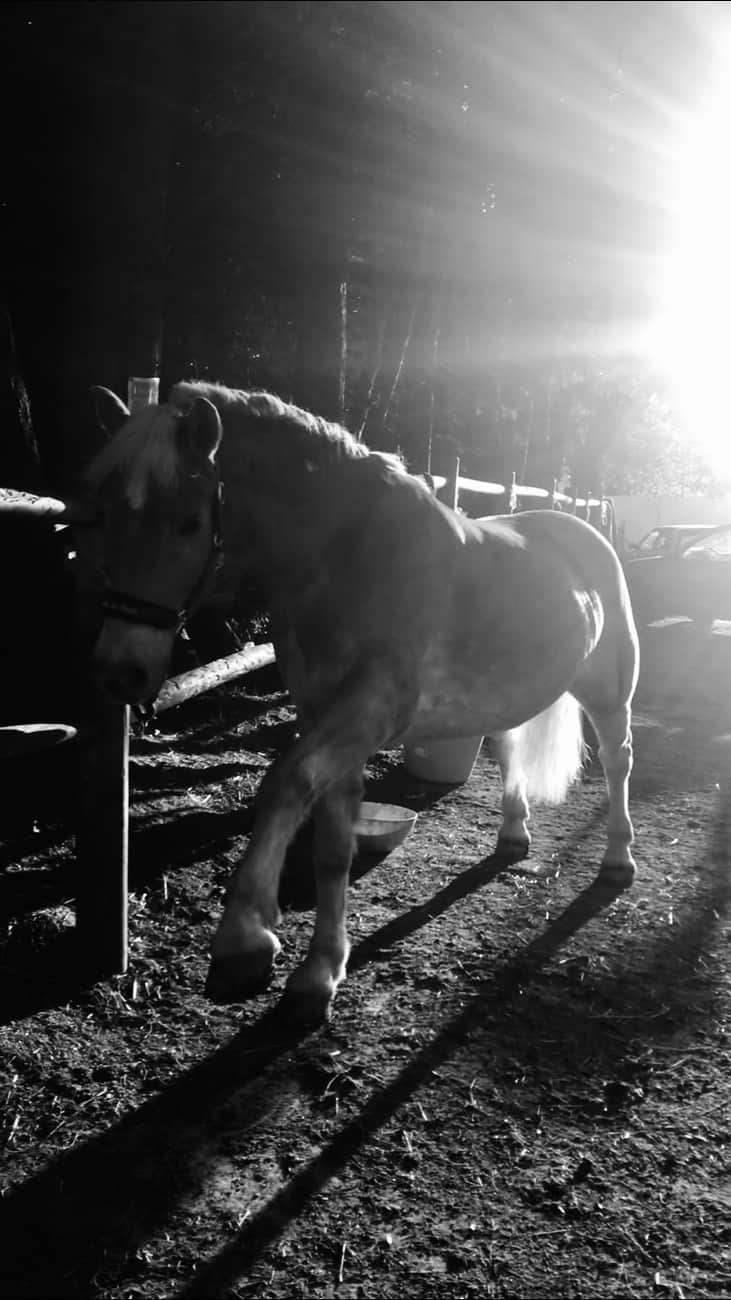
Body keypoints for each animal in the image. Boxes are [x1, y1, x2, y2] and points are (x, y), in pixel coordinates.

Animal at [85, 381, 639, 1021]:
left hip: (610, 690)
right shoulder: (330, 720)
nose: (119, 672)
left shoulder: (370, 711)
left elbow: (282, 783)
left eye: (189, 523)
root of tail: (581, 529)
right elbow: (332, 844)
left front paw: (244, 941)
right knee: (507, 747)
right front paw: (320, 971)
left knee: (619, 761)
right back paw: (514, 834)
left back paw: (618, 861)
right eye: (101, 515)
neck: (349, 559)